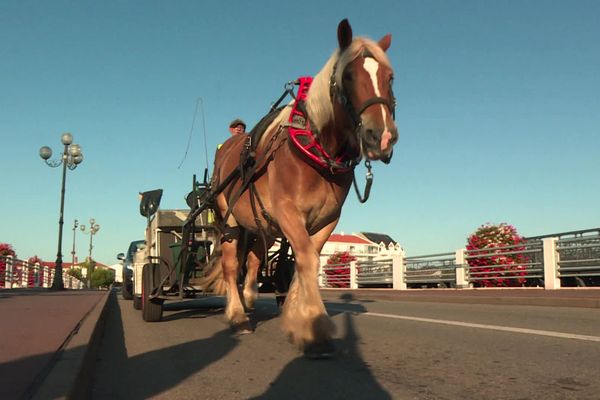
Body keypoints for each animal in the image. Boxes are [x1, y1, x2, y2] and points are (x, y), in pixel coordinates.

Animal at [203, 18, 398, 358]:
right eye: (348, 76)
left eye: (390, 77)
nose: (382, 136)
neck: (316, 148)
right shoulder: (287, 212)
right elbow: (306, 259)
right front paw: (315, 325)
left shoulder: (325, 220)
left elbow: (306, 260)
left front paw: (298, 316)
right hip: (229, 218)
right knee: (230, 265)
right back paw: (238, 314)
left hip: (260, 225)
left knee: (253, 259)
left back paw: (249, 297)